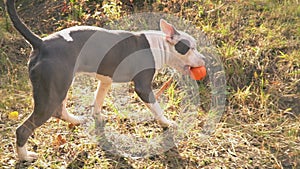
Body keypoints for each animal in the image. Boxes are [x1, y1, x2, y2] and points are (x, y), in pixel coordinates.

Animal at [5, 0, 206, 161]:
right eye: (190, 48)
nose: (204, 59)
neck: (159, 44)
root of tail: (41, 43)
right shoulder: (142, 87)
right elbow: (157, 108)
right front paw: (167, 123)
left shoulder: (106, 81)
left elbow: (98, 99)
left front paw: (98, 117)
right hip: (52, 94)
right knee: (24, 129)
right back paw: (25, 157)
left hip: (59, 87)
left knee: (59, 110)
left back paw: (77, 120)